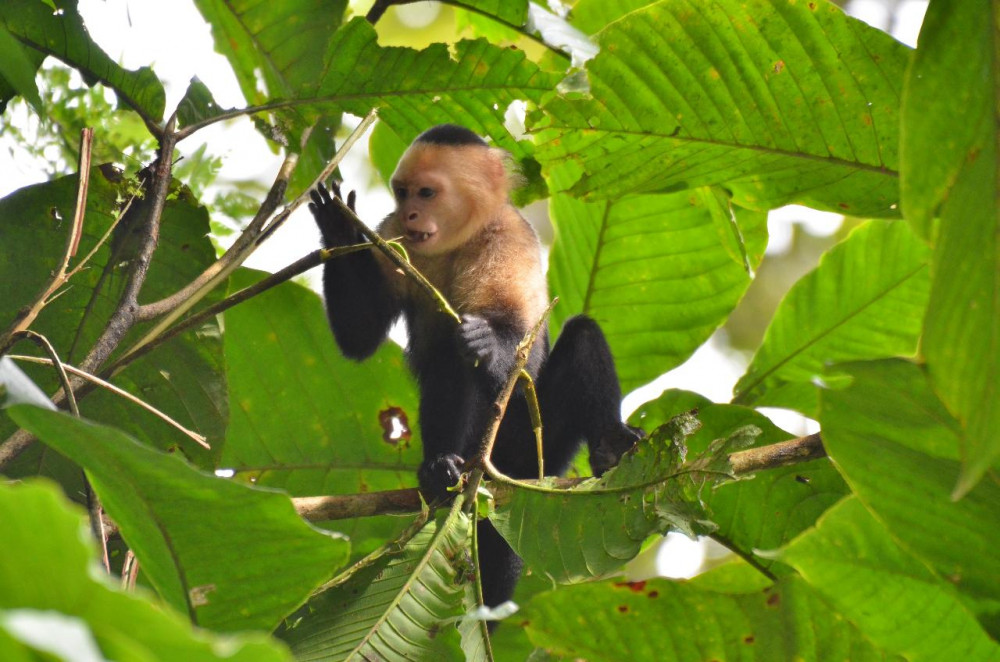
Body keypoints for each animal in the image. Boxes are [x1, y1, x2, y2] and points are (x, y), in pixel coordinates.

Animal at [308, 126, 640, 616]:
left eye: (426, 193)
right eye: (402, 193)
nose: (411, 212)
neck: (455, 242)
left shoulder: (510, 236)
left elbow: (519, 347)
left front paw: (487, 342)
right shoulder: (391, 236)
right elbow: (359, 337)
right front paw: (337, 225)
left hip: (533, 444)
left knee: (576, 338)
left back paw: (610, 445)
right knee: (449, 367)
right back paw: (442, 469)